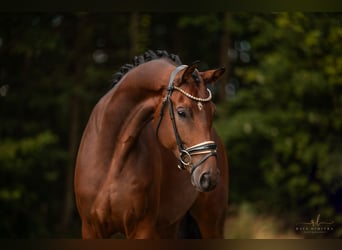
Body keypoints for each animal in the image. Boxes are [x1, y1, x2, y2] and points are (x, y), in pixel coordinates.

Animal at [75, 50, 230, 238]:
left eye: (212, 111)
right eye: (182, 112)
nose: (209, 177)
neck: (111, 160)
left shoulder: (142, 228)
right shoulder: (90, 229)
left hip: (211, 223)